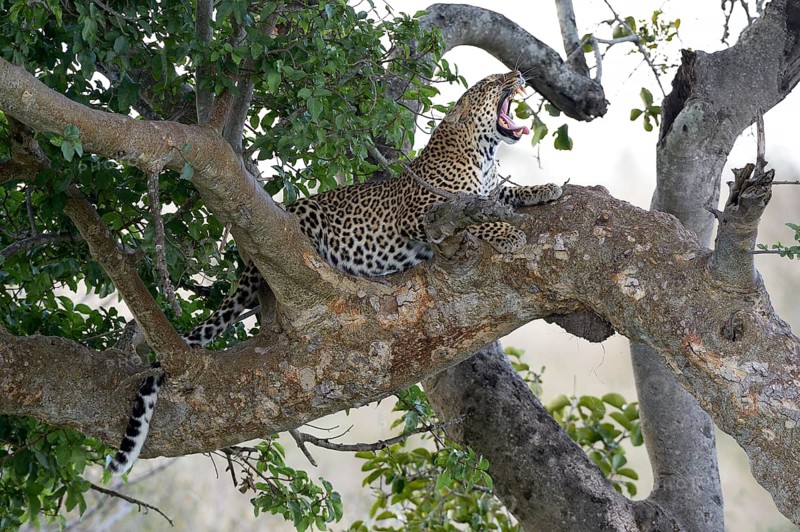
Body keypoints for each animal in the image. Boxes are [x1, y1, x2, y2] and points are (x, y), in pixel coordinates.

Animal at [107, 71, 563, 475]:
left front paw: (545, 189)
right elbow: (473, 222)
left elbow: (505, 194)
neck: (485, 155)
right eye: (491, 82)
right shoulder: (423, 214)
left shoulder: (487, 193)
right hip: (304, 216)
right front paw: (508, 234)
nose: (517, 73)